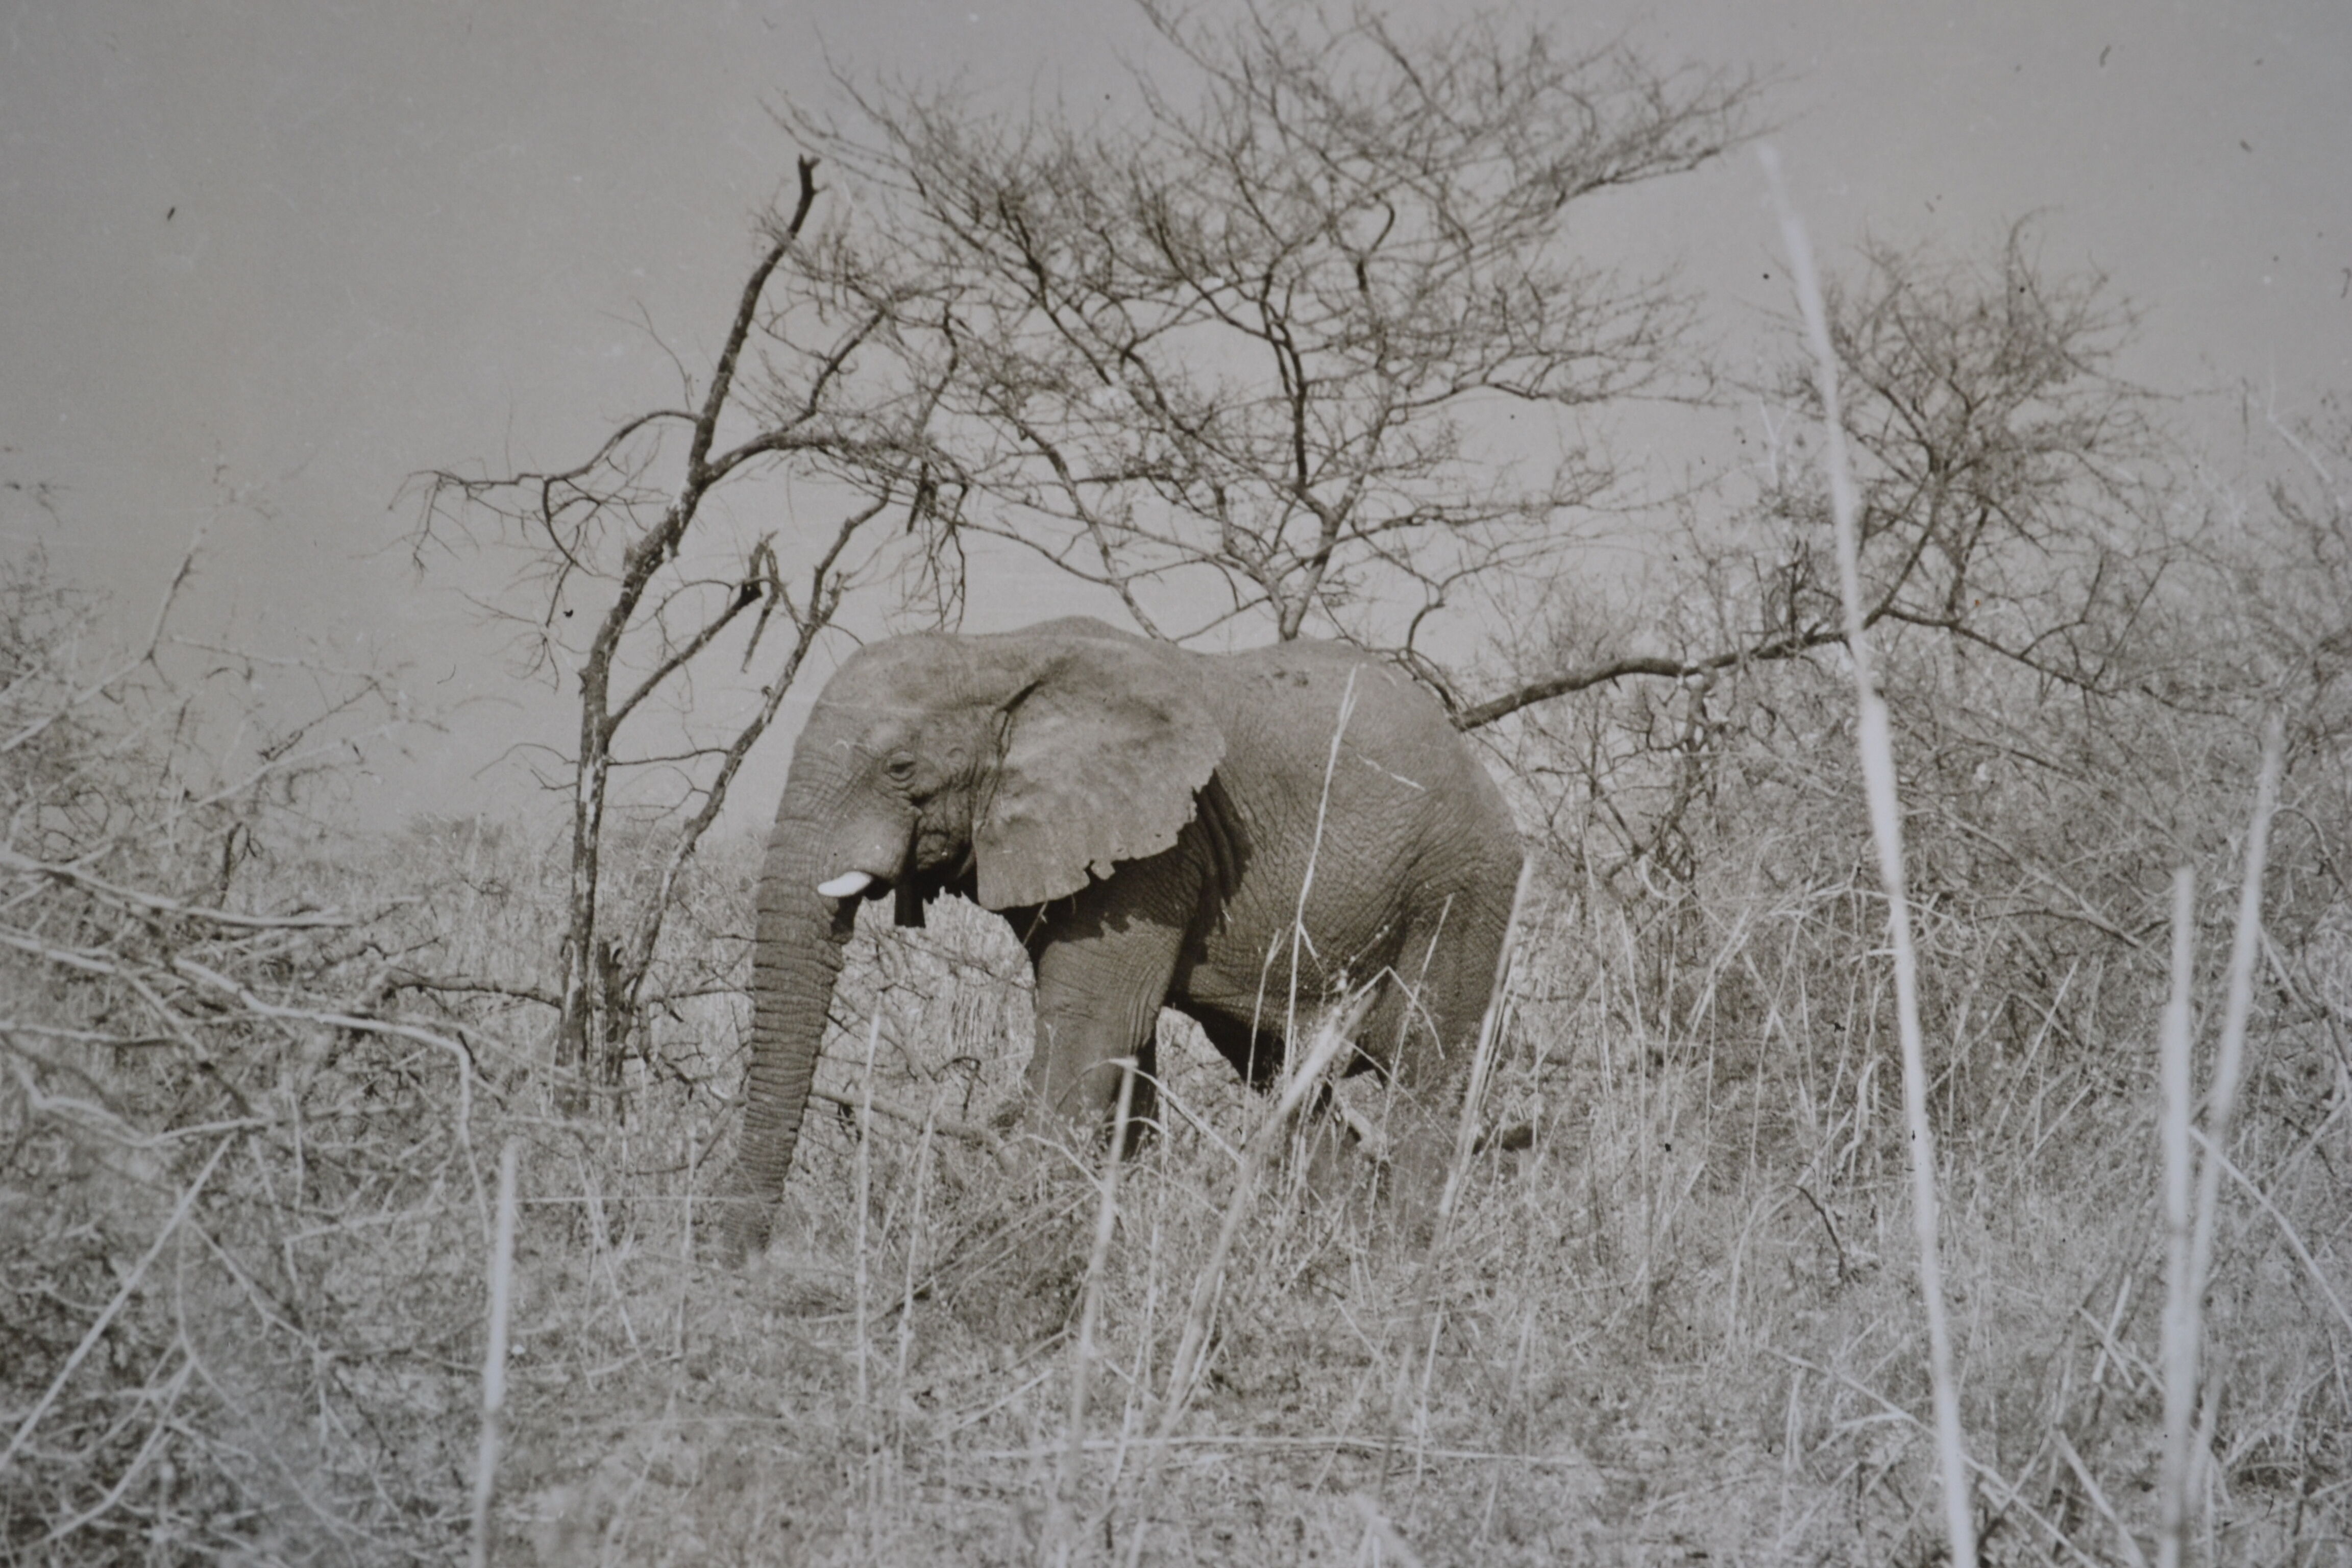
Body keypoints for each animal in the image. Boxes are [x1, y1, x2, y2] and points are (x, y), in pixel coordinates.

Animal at [712, 616, 1523, 1259]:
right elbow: (1124, 1046)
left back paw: (1403, 1259)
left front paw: (1014, 1243)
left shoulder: (1160, 850)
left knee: (1427, 1071)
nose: (742, 1265)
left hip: (1462, 889)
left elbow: (1090, 1027)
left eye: (900, 768)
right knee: (1283, 1073)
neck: (997, 654)